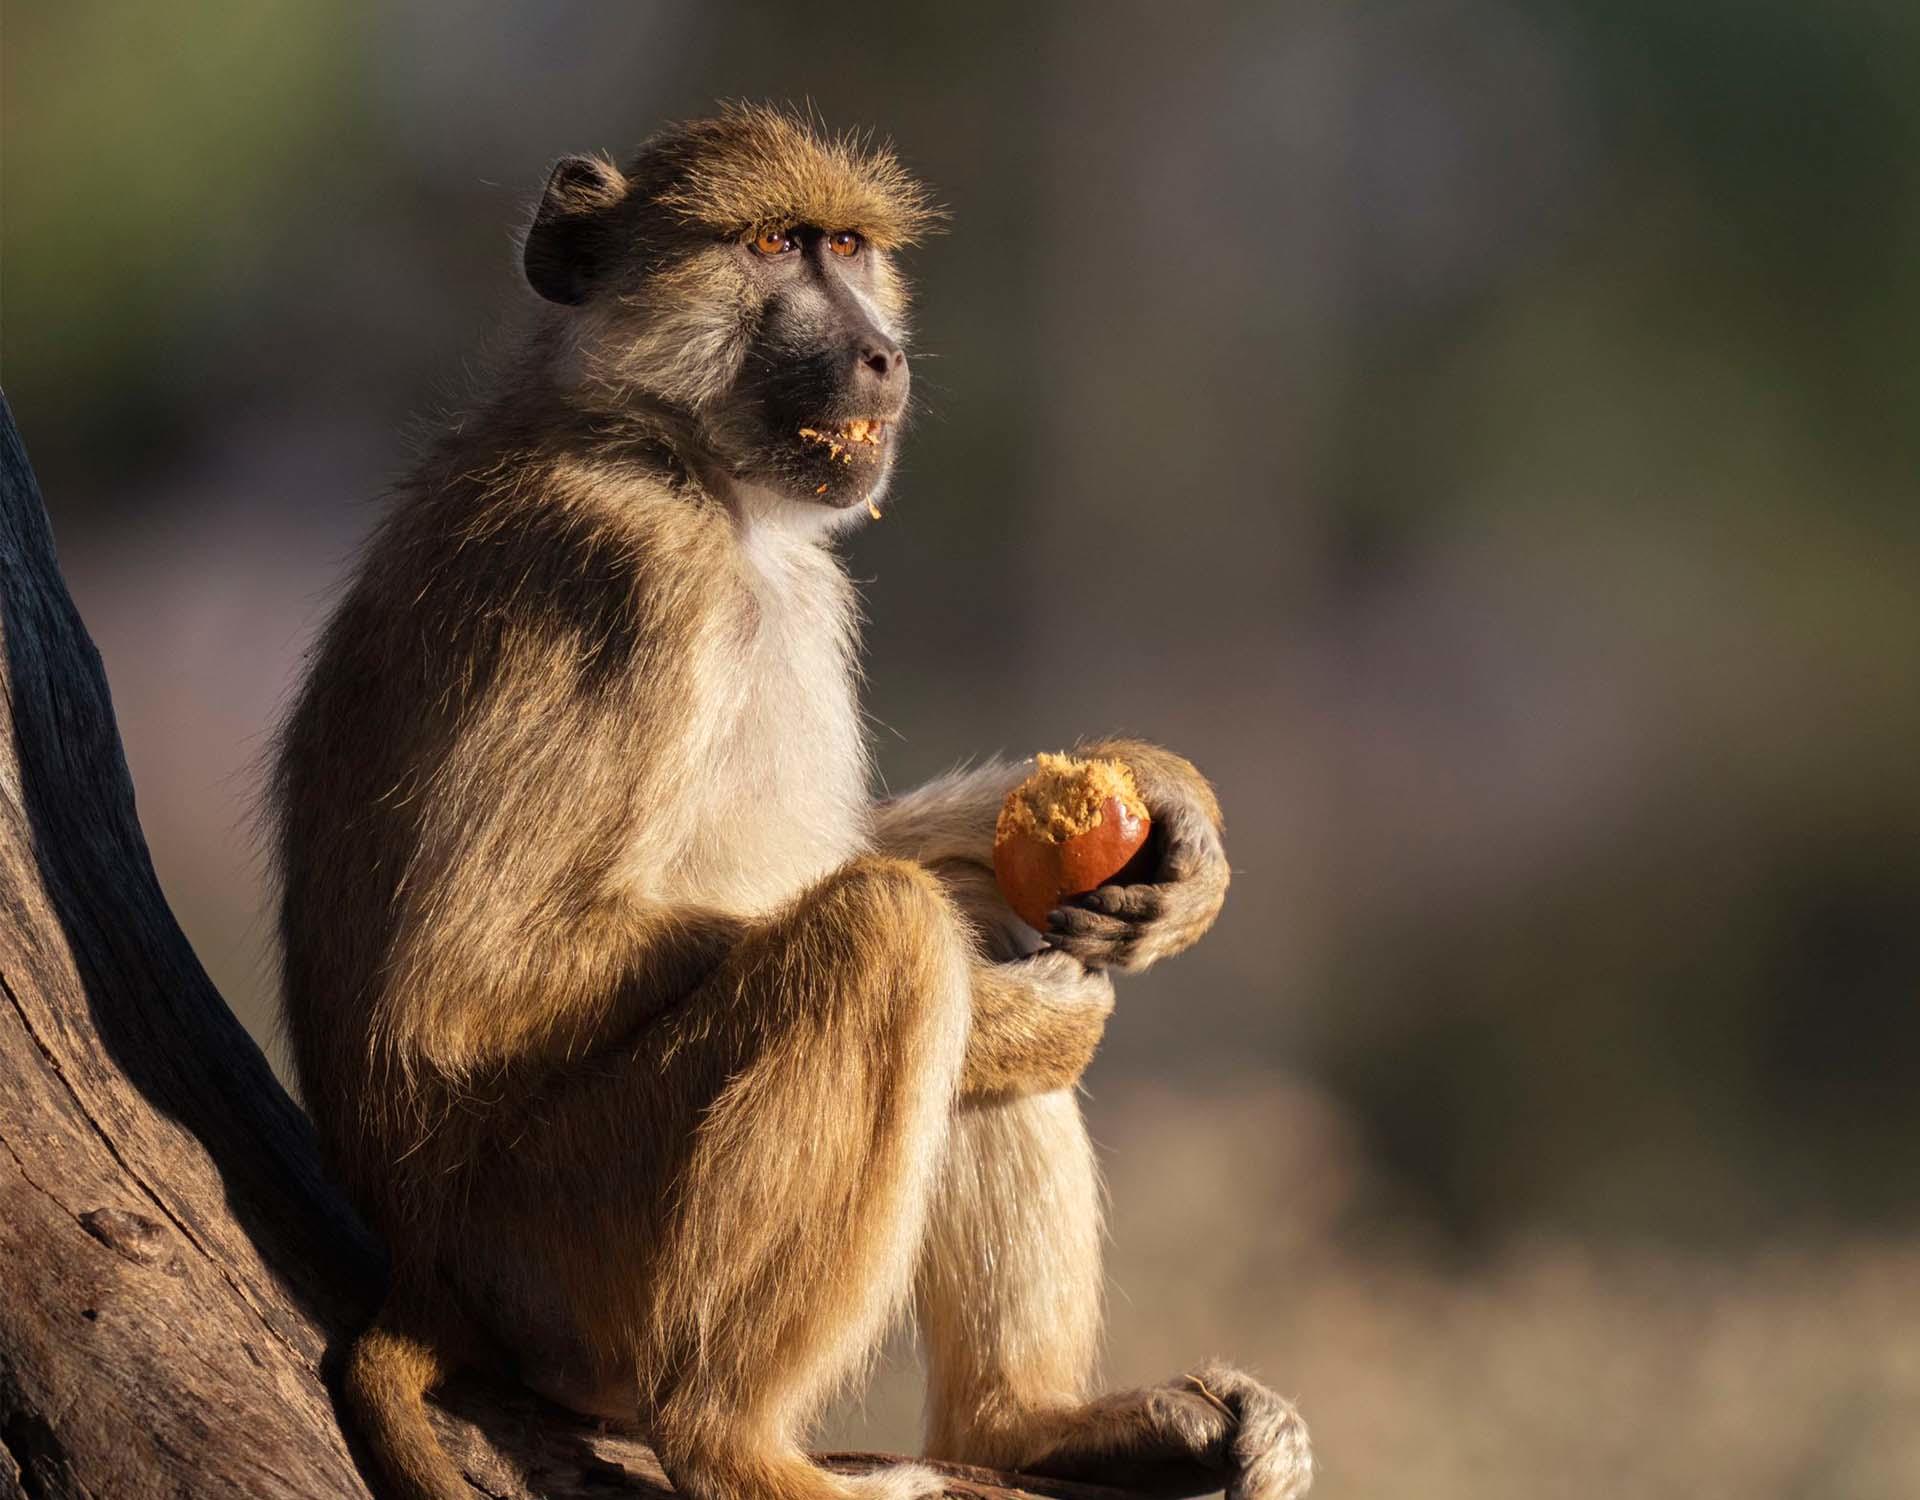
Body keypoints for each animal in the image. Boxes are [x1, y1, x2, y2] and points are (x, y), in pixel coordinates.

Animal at [269, 104, 1312, 1500]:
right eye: (772, 245)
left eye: (850, 248)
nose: (881, 357)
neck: (676, 460)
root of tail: (430, 1280)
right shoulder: (628, 576)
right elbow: (471, 978)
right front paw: (1015, 1021)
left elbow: (879, 851)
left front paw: (1170, 823)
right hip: (565, 1250)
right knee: (889, 937)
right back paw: (737, 1446)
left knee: (934, 905)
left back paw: (1027, 1429)